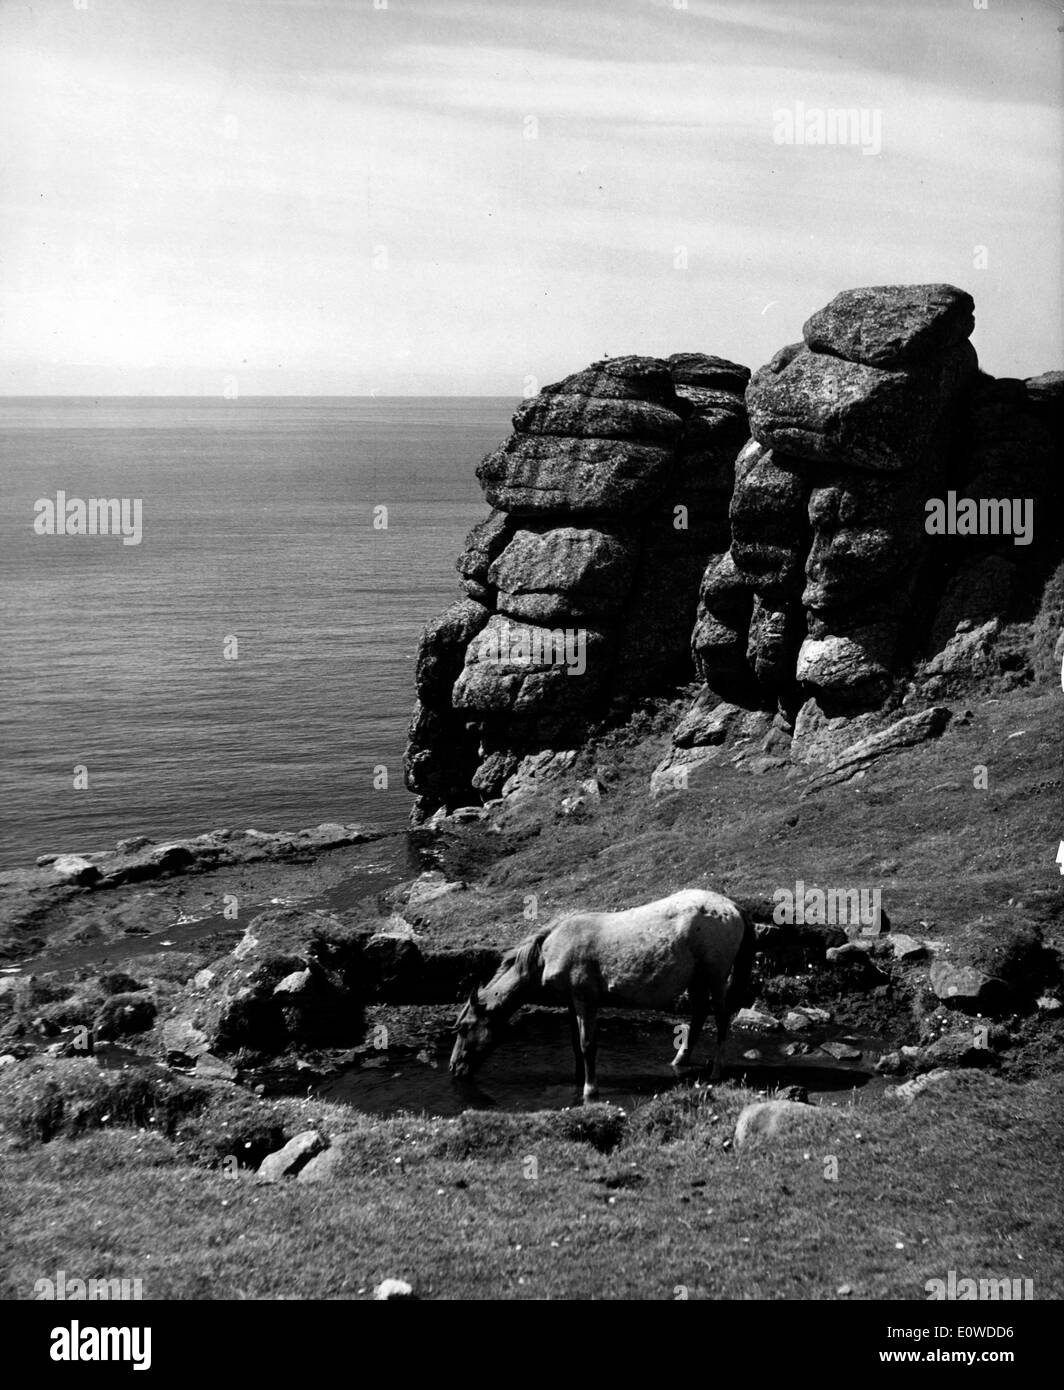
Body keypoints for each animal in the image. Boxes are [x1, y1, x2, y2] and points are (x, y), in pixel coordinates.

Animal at [447, 889, 756, 1106]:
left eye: (464, 1028)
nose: (453, 1068)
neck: (550, 952)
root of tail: (733, 907)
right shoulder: (572, 1002)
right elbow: (576, 1045)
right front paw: (577, 1080)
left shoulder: (586, 1001)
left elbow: (588, 1045)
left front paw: (589, 1090)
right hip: (697, 980)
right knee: (700, 1013)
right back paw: (679, 1060)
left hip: (715, 977)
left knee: (721, 1017)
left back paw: (716, 1070)